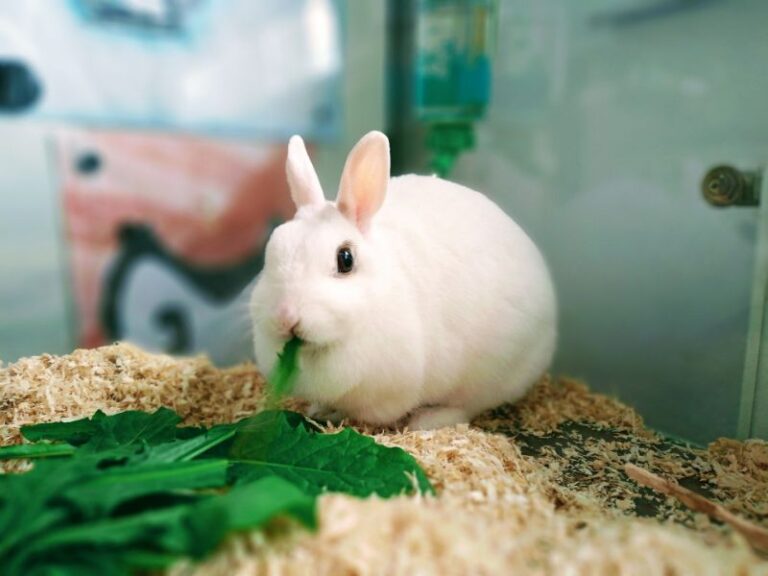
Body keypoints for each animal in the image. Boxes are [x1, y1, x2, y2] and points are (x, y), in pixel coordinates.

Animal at [250, 131, 557, 430]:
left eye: (345, 259)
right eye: (272, 248)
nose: (286, 316)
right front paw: (320, 409)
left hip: (489, 376)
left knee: (469, 406)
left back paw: (427, 421)